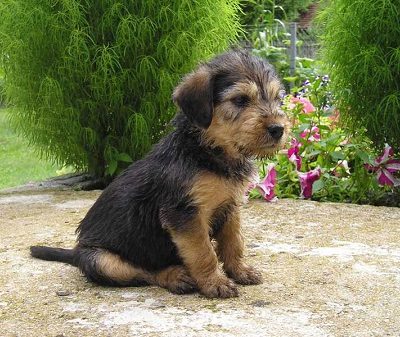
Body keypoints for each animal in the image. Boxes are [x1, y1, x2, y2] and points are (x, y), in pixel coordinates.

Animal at [30, 49, 288, 296]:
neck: (207, 151)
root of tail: (75, 254)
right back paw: (175, 276)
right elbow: (203, 252)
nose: (278, 129)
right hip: (101, 261)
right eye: (240, 100)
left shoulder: (230, 207)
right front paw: (215, 283)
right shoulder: (184, 214)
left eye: (278, 99)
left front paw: (240, 271)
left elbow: (234, 242)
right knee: (144, 272)